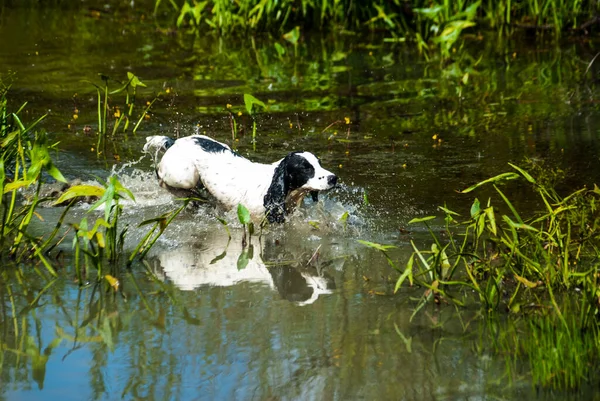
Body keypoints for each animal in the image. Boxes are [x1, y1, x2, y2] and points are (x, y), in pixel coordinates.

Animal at [142, 134, 338, 222]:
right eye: (306, 168)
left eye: (319, 163)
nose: (333, 178)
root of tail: (174, 142)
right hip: (184, 176)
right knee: (162, 179)